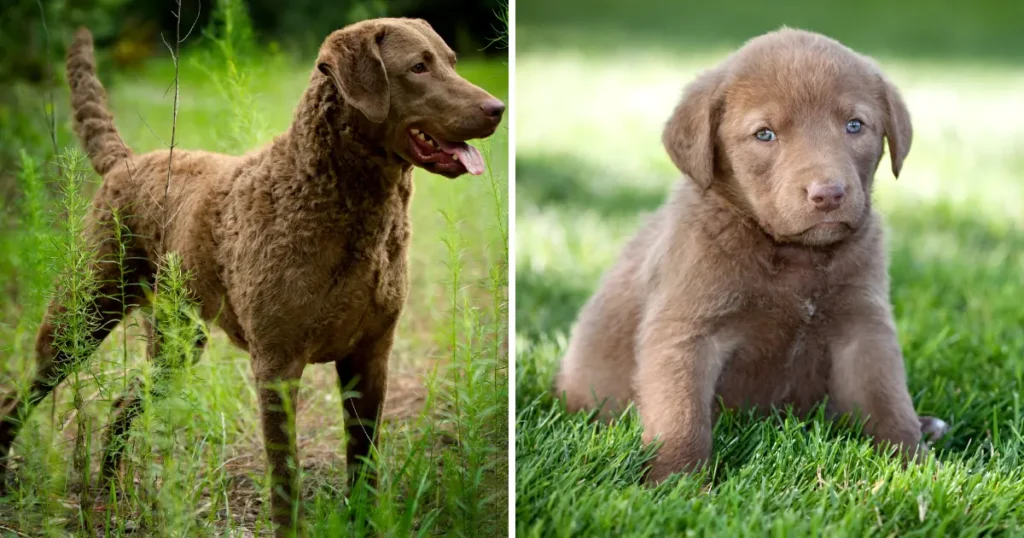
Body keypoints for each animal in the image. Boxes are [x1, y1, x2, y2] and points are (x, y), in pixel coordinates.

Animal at [0, 16, 503, 532]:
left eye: (452, 61)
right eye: (418, 67)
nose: (497, 108)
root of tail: (126, 162)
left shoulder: (371, 354)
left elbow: (363, 463)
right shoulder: (277, 363)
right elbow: (285, 474)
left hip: (179, 342)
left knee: (122, 404)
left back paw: (108, 492)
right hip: (85, 312)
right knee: (19, 396)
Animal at [557, 28, 946, 481]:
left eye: (855, 125)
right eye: (765, 134)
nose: (828, 193)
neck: (794, 256)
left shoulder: (864, 328)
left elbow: (888, 402)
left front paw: (915, 467)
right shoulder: (685, 333)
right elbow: (682, 416)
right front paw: (678, 482)